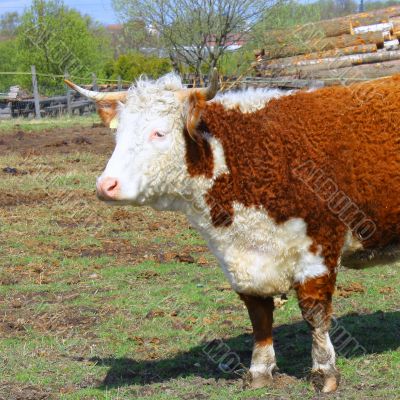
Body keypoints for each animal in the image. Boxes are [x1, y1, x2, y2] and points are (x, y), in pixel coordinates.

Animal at [65, 72, 400, 394]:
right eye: (118, 133)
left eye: (159, 133)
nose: (106, 185)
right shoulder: (241, 260)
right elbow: (259, 315)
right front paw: (259, 371)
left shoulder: (319, 246)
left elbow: (314, 314)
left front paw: (324, 372)